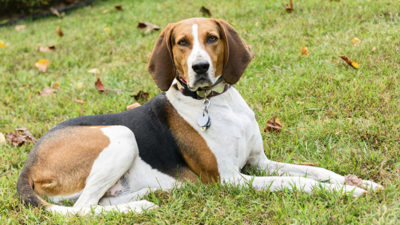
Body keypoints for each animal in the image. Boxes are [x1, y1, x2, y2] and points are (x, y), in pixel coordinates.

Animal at [17, 17, 382, 214]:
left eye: (212, 38)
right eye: (181, 42)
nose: (200, 67)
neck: (217, 104)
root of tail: (29, 164)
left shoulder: (258, 162)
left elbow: (317, 171)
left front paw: (357, 182)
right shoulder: (232, 178)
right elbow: (296, 182)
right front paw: (347, 193)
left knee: (99, 202)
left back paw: (152, 195)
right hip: (122, 134)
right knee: (82, 209)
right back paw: (141, 207)